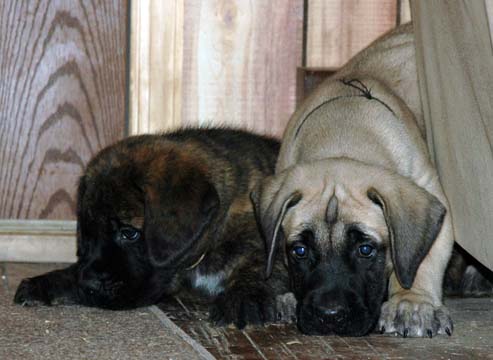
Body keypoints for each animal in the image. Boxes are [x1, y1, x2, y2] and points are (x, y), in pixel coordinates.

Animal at [14, 127, 288, 330]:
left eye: (129, 233)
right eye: (89, 233)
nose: (89, 285)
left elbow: (263, 262)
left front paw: (244, 296)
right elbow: (77, 268)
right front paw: (51, 280)